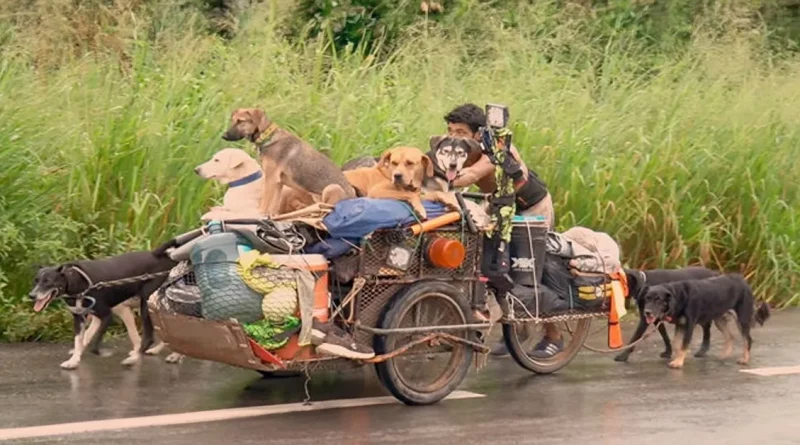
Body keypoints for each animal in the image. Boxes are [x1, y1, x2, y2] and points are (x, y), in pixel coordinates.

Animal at [220, 109, 354, 217]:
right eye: (233, 121)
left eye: (240, 121)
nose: (223, 136)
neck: (267, 137)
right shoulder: (279, 182)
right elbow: (274, 206)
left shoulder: (270, 179)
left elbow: (265, 203)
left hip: (332, 188)